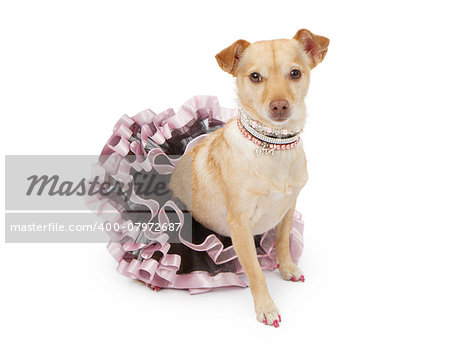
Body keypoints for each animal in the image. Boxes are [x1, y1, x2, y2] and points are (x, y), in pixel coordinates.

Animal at [171, 27, 328, 326]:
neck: (273, 148)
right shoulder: (240, 225)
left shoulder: (288, 209)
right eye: (255, 77)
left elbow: (282, 242)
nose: (279, 106)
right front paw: (266, 307)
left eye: (295, 73)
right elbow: (255, 271)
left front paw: (286, 267)